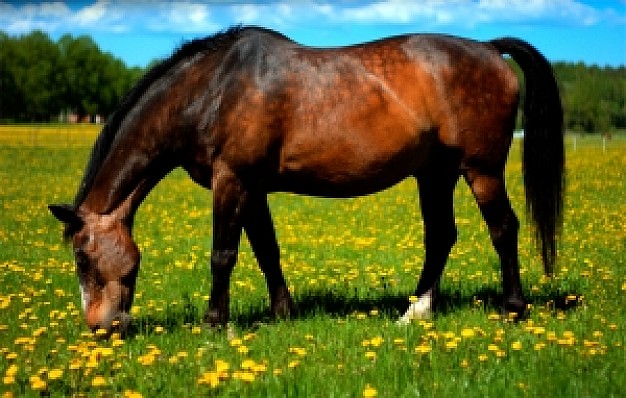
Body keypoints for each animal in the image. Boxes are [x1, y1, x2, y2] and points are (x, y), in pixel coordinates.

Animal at [50, 26, 560, 334]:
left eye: (82, 256)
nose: (100, 327)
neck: (213, 89)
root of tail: (490, 48)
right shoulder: (252, 188)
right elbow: (266, 252)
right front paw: (283, 313)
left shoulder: (232, 180)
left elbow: (223, 255)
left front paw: (215, 323)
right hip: (435, 174)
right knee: (441, 236)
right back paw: (415, 312)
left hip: (481, 171)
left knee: (503, 230)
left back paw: (512, 309)